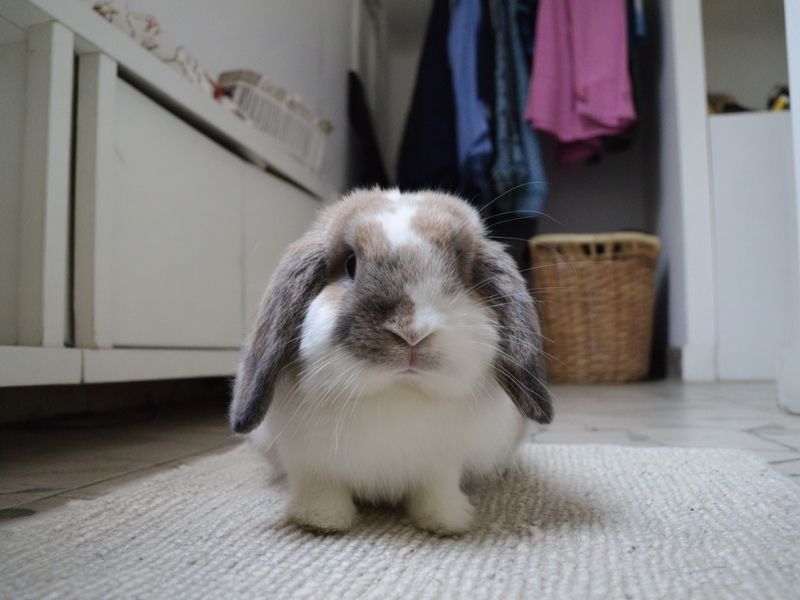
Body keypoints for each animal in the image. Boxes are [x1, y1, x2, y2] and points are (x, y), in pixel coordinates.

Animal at [230, 188, 552, 534]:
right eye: (350, 263)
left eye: (460, 267)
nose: (412, 334)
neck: (395, 391)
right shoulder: (310, 465)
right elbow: (322, 489)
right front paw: (321, 520)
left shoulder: (441, 467)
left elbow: (436, 491)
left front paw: (445, 521)